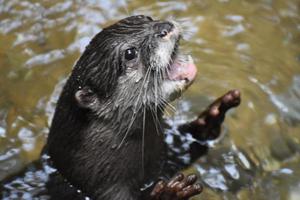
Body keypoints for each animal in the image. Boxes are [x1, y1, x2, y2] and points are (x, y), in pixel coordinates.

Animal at [0, 14, 239, 199]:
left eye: (146, 18)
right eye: (130, 53)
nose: (165, 27)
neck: (87, 175)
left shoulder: (161, 160)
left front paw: (210, 118)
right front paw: (168, 194)